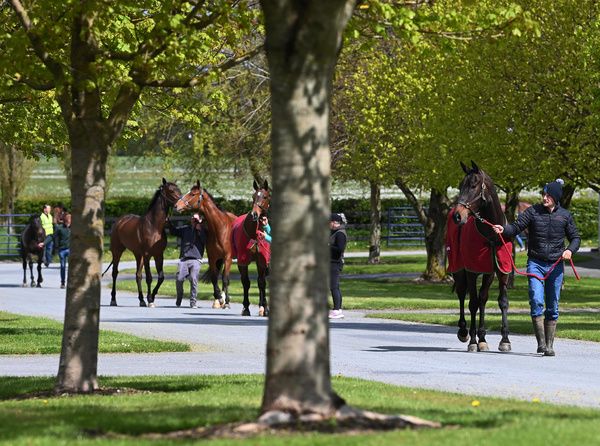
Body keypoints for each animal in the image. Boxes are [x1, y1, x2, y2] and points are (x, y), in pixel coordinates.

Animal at [103, 178, 182, 307]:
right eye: (171, 191)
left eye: (178, 189)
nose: (181, 204)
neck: (154, 226)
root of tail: (120, 221)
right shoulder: (147, 255)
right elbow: (149, 278)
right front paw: (150, 299)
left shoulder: (158, 255)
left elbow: (161, 277)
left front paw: (151, 297)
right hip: (117, 252)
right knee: (115, 273)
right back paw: (113, 300)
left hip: (138, 255)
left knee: (138, 275)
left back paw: (141, 300)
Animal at [175, 181, 237, 309]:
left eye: (192, 194)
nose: (176, 205)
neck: (220, 228)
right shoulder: (212, 258)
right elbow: (214, 278)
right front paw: (219, 298)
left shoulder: (228, 258)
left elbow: (225, 279)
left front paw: (226, 302)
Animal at [231, 179, 271, 316]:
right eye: (253, 196)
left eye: (265, 196)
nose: (254, 214)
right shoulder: (242, 261)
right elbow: (246, 282)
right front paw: (246, 308)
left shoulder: (262, 261)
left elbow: (262, 283)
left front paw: (265, 308)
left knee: (261, 282)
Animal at [446, 161, 513, 352]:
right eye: (460, 185)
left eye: (473, 185)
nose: (457, 216)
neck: (491, 235)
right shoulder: (472, 270)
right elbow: (473, 303)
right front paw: (473, 341)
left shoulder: (497, 271)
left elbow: (498, 301)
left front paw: (503, 340)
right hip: (458, 268)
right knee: (462, 294)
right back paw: (463, 331)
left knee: (481, 298)